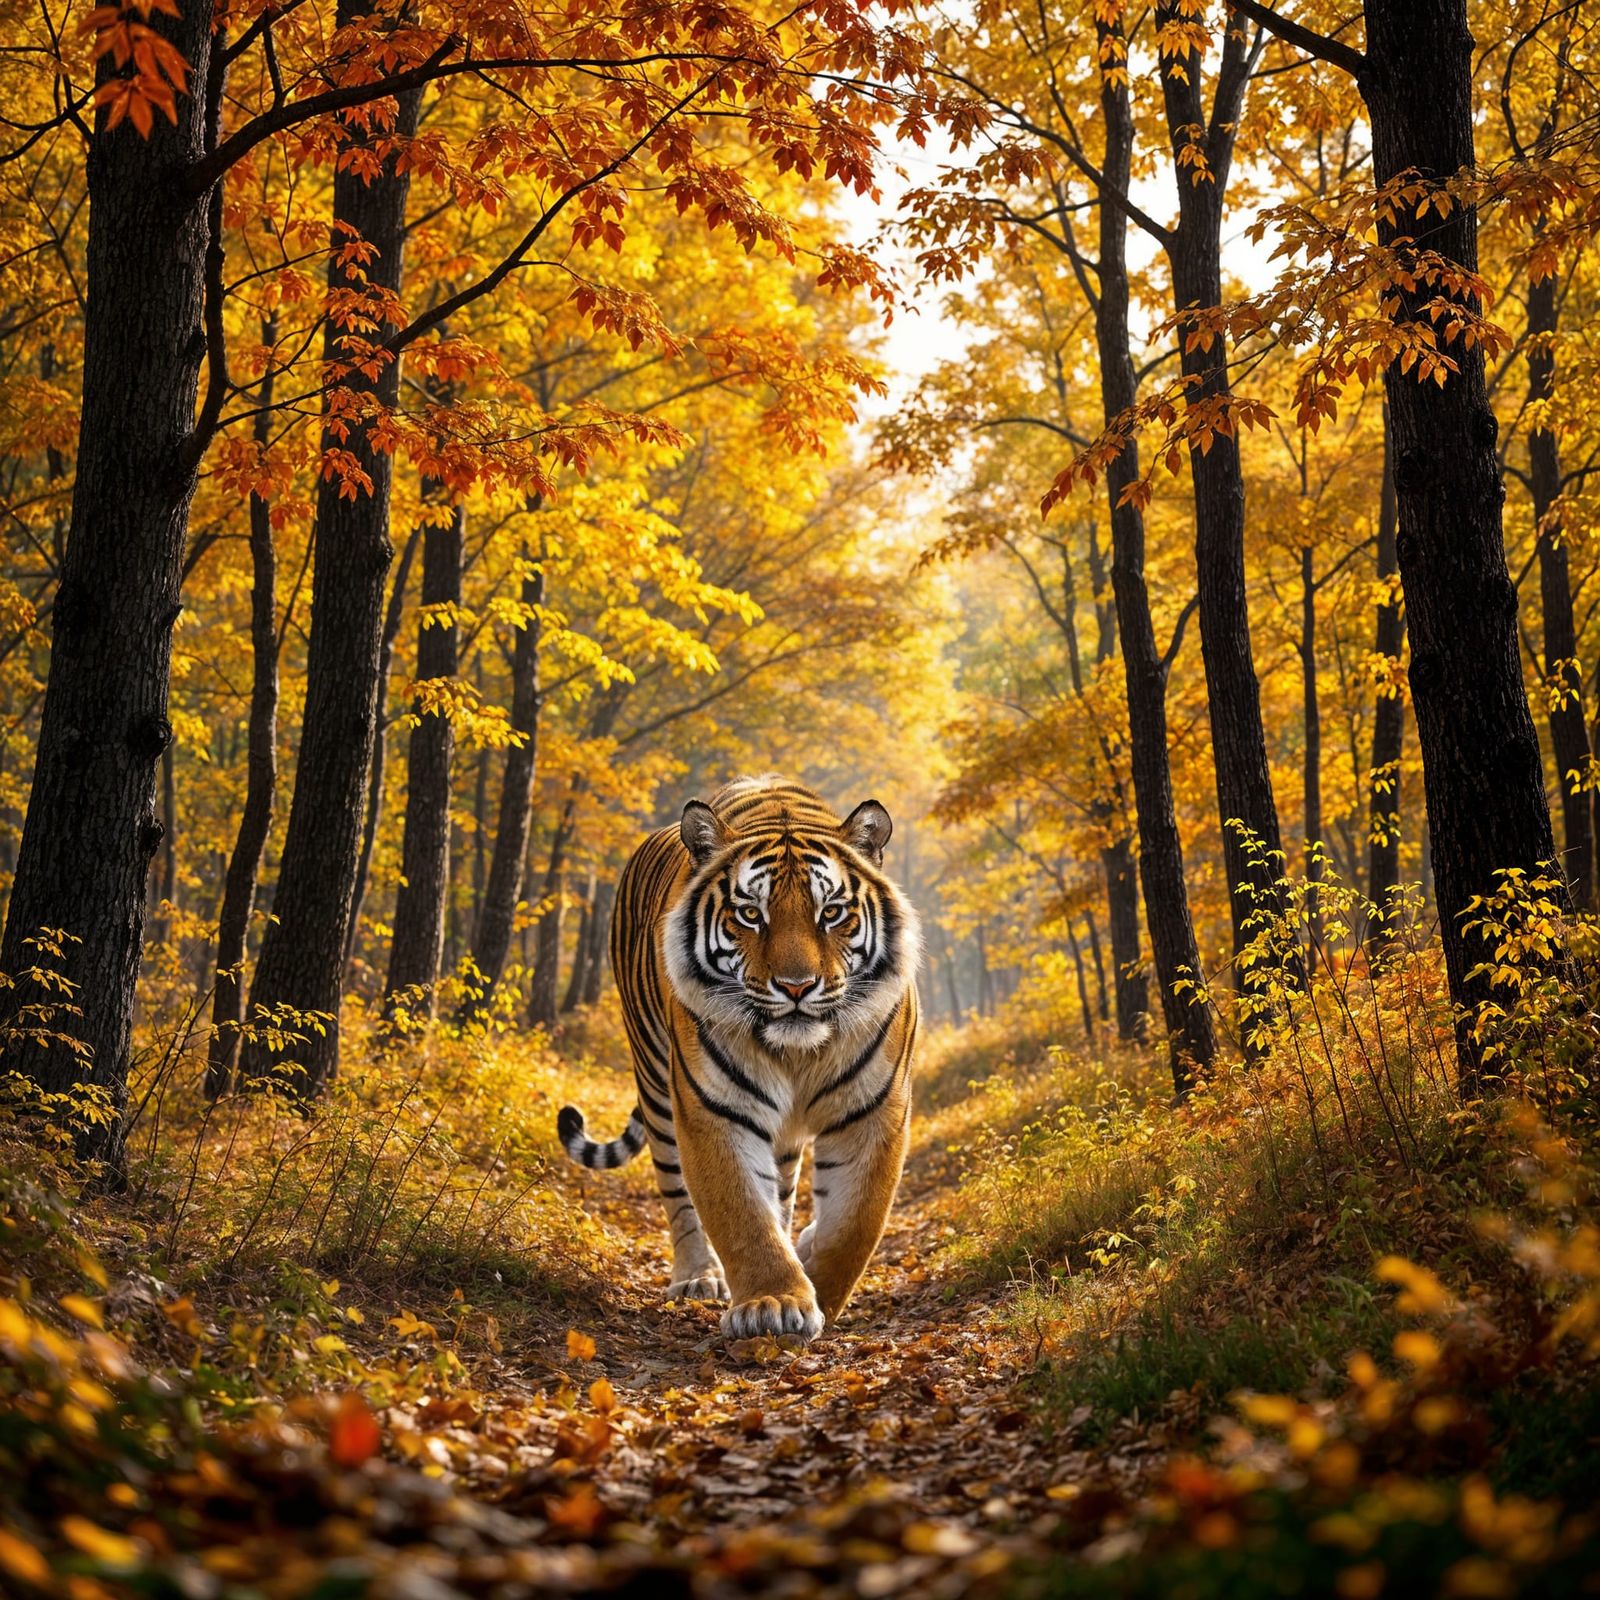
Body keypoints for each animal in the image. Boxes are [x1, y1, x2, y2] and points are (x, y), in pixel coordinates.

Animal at [557, 775, 921, 1343]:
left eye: (831, 913)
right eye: (751, 914)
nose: (796, 986)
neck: (798, 1053)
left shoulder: (874, 1112)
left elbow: (853, 1223)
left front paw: (820, 1289)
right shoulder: (714, 1110)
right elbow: (741, 1211)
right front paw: (774, 1303)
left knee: (786, 1193)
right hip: (657, 1086)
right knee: (678, 1191)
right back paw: (698, 1277)